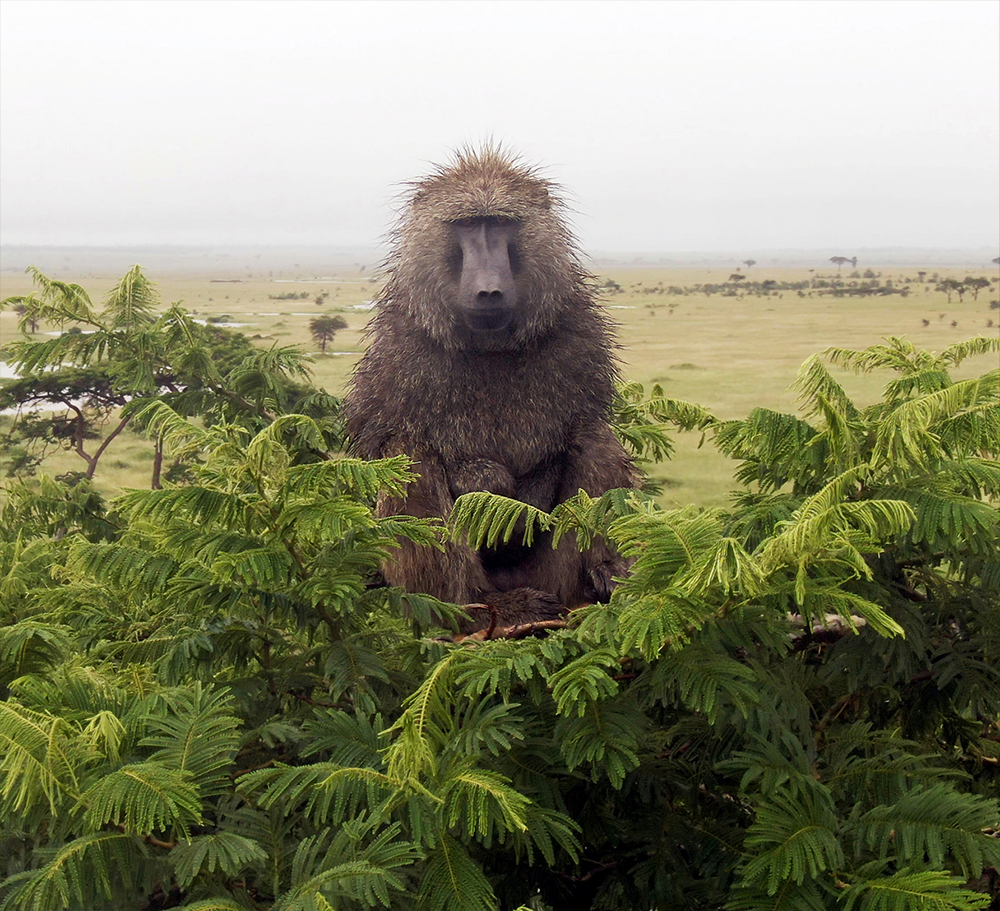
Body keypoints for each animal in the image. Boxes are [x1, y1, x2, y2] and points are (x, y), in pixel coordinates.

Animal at [344, 147, 637, 634]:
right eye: (467, 225)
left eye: (500, 223)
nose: (489, 290)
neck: (490, 346)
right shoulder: (401, 350)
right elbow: (379, 449)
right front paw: (486, 484)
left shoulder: (576, 337)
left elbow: (571, 438)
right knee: (411, 453)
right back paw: (474, 610)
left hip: (551, 577)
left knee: (595, 439)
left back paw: (602, 575)